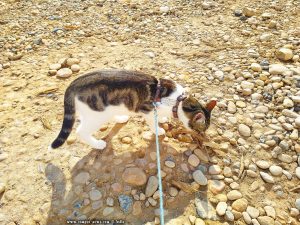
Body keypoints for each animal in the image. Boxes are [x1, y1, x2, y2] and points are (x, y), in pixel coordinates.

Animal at [49, 69, 216, 150]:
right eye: (201, 129)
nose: (203, 137)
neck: (178, 101)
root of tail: (73, 84)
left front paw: (163, 118)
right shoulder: (148, 110)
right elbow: (153, 123)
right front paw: (159, 130)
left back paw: (120, 118)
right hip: (97, 114)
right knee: (80, 131)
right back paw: (97, 145)